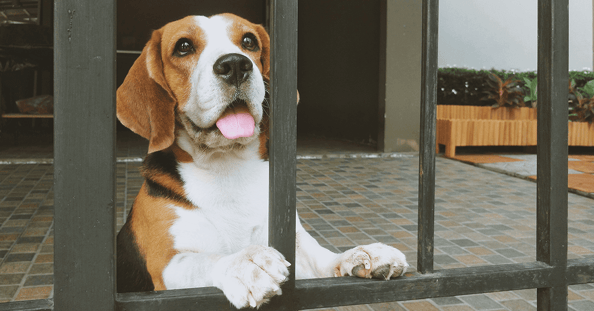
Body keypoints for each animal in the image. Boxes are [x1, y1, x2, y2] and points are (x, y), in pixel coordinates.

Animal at [115, 12, 408, 310]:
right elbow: (204, 261)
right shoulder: (165, 267)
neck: (227, 168)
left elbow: (323, 258)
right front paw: (245, 263)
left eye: (249, 41)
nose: (235, 64)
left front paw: (361, 254)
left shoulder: (296, 248)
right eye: (183, 47)